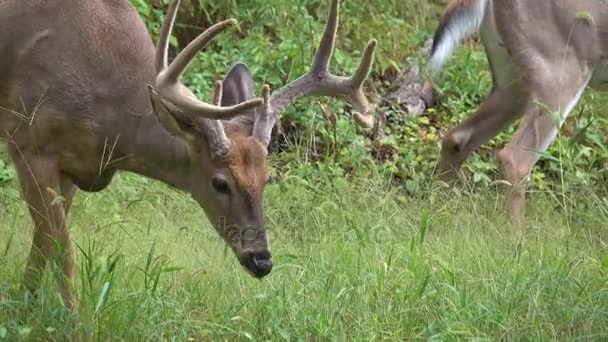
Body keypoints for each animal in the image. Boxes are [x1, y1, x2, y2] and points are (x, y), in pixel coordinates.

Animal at [0, 0, 378, 310]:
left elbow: (42, 245)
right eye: (220, 182)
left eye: (266, 178)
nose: (261, 261)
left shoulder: (72, 169)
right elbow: (62, 251)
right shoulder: (29, 142)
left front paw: (27, 305)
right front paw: (72, 322)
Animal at [428, 0, 608, 230]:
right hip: (558, 69)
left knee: (456, 137)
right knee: (515, 158)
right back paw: (518, 237)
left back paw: (438, 208)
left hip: (511, 80)